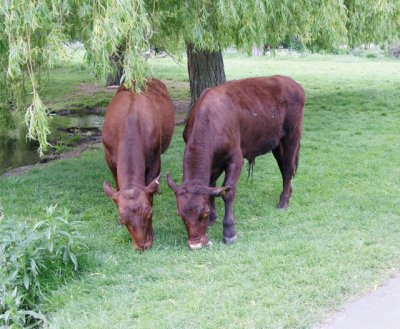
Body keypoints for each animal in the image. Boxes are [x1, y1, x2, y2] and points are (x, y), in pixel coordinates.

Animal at [102, 78, 174, 250]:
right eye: (122, 219)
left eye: (149, 213)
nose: (143, 245)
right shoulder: (109, 157)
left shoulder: (155, 157)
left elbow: (152, 185)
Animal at [167, 75, 304, 249]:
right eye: (179, 213)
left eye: (203, 213)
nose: (195, 244)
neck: (210, 121)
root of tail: (290, 81)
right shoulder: (213, 164)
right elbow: (212, 187)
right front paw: (213, 218)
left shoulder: (235, 158)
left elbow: (228, 192)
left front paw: (229, 231)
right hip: (276, 143)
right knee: (284, 167)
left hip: (292, 136)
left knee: (288, 168)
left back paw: (283, 202)